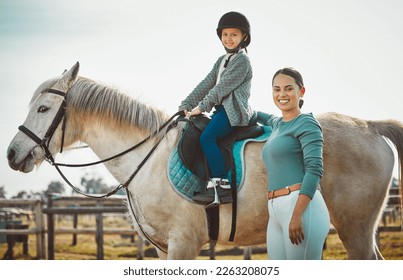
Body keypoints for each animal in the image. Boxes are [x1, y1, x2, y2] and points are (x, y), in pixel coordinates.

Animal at [6, 62, 403, 260]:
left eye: (43, 109)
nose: (12, 154)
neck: (147, 159)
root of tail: (368, 126)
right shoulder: (162, 248)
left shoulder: (182, 244)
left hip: (355, 230)